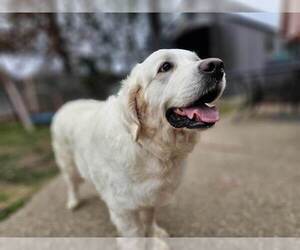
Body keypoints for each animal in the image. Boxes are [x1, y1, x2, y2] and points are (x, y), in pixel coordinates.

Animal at [51, 48, 225, 248]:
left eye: (196, 59)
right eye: (165, 66)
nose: (217, 65)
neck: (150, 147)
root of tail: (66, 105)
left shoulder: (151, 197)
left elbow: (149, 219)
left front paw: (155, 236)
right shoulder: (123, 209)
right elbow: (135, 234)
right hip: (67, 163)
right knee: (71, 183)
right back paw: (73, 201)